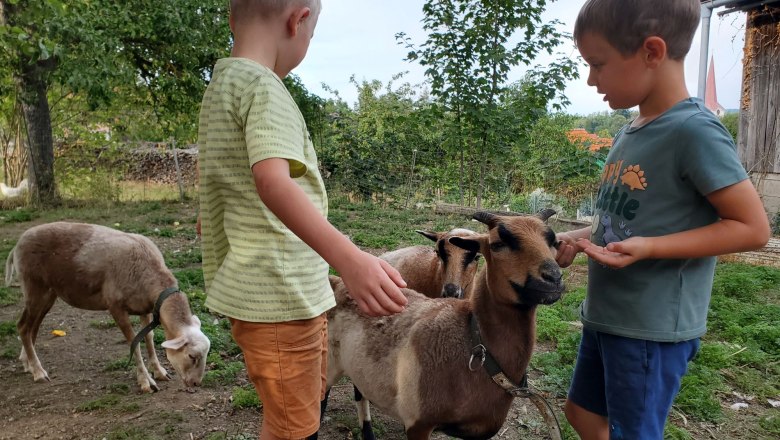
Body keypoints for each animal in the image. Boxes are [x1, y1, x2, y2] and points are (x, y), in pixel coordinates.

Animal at [7, 222, 213, 394]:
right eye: (191, 356)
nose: (196, 384)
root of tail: (17, 244)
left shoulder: (145, 308)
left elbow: (148, 338)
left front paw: (159, 372)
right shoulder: (116, 308)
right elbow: (134, 342)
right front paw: (145, 382)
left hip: (48, 293)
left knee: (32, 327)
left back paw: (27, 363)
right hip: (34, 287)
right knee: (23, 327)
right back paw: (38, 372)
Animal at [320, 211, 564, 438]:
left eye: (553, 242)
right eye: (497, 244)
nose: (554, 278)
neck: (476, 346)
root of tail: (338, 282)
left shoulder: (480, 431)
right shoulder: (418, 422)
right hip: (330, 361)